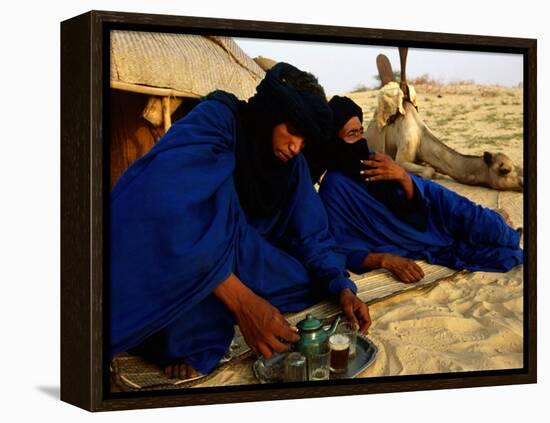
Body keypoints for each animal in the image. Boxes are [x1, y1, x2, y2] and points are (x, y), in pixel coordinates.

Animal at [368, 49, 524, 192]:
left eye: (515, 165)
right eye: (504, 170)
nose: (522, 183)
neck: (421, 138)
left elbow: (432, 168)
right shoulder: (402, 153)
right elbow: (428, 171)